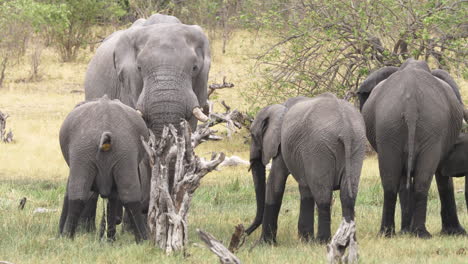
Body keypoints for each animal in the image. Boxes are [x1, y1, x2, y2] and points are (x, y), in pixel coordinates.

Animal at [58, 96, 149, 242]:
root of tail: (105, 127)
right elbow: (114, 196)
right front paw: (109, 240)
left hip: (85, 148)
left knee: (78, 191)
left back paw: (67, 238)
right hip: (123, 149)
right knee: (129, 193)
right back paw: (142, 240)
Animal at [245, 93, 366, 248]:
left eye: (253, 135)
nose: (244, 233)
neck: (279, 107)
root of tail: (345, 127)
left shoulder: (282, 145)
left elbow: (275, 182)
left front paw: (264, 243)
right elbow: (305, 189)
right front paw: (305, 240)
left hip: (319, 147)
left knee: (323, 197)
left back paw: (322, 241)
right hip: (357, 145)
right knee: (348, 197)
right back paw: (348, 242)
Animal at [358, 57, 464, 237]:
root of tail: (411, 103)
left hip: (390, 126)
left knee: (391, 182)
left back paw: (389, 233)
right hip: (424, 126)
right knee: (420, 181)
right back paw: (420, 233)